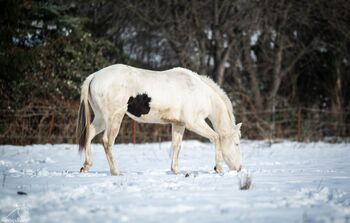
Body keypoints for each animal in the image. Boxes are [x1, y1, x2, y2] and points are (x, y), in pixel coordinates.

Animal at [76, 63, 242, 175]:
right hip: (114, 119)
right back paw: (116, 172)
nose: (239, 168)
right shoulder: (193, 123)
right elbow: (216, 137)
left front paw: (175, 171)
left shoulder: (179, 124)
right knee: (107, 142)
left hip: (101, 118)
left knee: (89, 134)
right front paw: (218, 168)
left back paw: (86, 166)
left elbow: (176, 146)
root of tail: (94, 76)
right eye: (237, 144)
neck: (200, 92)